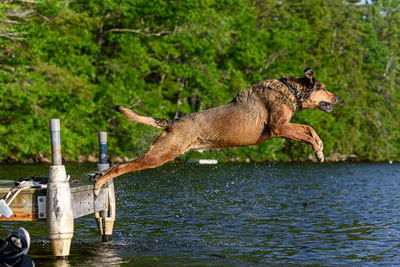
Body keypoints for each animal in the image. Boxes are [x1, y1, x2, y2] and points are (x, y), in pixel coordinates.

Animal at [93, 68, 338, 195]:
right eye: (325, 88)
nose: (337, 97)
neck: (291, 90)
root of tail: (172, 122)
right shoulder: (278, 127)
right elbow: (305, 134)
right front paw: (317, 150)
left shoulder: (284, 125)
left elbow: (308, 128)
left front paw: (320, 147)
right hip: (160, 155)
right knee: (121, 166)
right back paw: (99, 183)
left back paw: (98, 179)